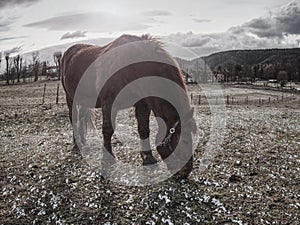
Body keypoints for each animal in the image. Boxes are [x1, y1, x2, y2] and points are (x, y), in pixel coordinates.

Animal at [61, 33, 197, 178]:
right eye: (185, 140)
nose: (186, 171)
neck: (132, 68)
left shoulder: (143, 104)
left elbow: (144, 129)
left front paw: (148, 158)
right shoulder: (109, 104)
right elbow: (108, 130)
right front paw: (107, 160)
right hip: (70, 98)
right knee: (73, 119)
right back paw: (76, 144)